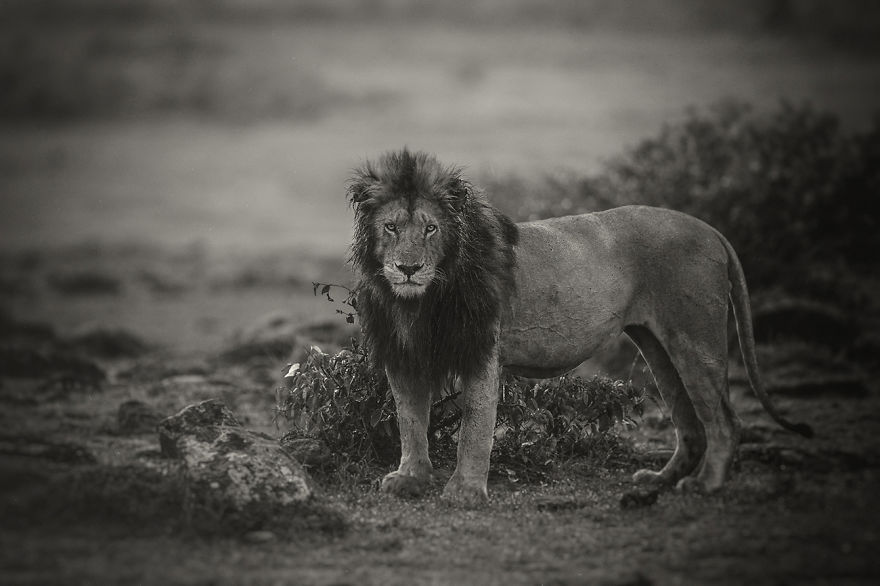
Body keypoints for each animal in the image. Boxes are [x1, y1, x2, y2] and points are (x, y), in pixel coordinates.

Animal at [347, 148, 812, 506]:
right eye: (391, 227)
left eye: (430, 228)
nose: (408, 268)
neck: (420, 302)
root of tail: (711, 229)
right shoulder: (404, 354)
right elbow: (410, 420)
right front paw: (411, 478)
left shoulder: (482, 350)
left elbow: (474, 427)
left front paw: (464, 492)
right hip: (657, 346)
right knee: (691, 423)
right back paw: (659, 480)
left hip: (695, 338)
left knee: (725, 421)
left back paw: (705, 485)